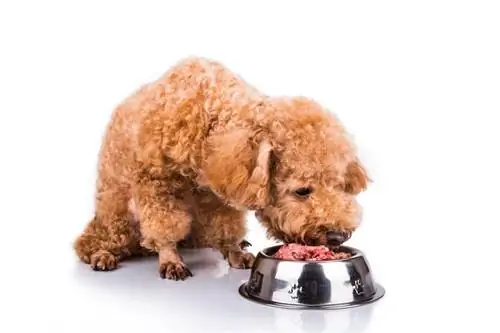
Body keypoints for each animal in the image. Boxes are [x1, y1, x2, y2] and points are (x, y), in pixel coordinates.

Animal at [75, 55, 372, 278]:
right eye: (301, 191)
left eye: (340, 186)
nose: (337, 235)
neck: (209, 114)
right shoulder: (156, 183)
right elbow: (164, 225)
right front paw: (170, 259)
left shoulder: (218, 193)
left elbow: (226, 226)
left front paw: (235, 251)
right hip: (118, 213)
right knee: (92, 241)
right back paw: (103, 254)